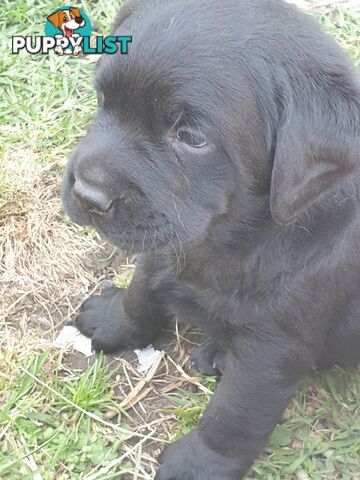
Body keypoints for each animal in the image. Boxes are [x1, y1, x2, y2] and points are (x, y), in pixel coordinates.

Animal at [62, 0, 360, 478]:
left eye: (191, 137)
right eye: (103, 100)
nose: (87, 195)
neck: (231, 238)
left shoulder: (271, 350)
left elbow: (234, 415)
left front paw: (199, 463)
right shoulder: (164, 248)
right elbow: (142, 292)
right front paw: (115, 318)